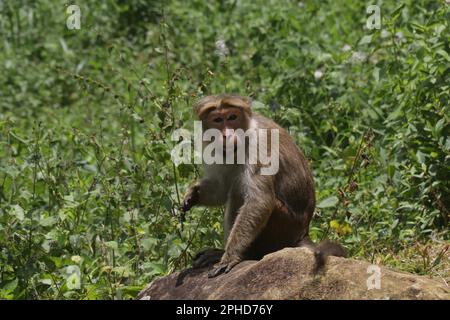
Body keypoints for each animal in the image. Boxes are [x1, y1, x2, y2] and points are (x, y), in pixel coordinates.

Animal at [179, 94, 344, 276]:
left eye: (232, 117)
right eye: (218, 120)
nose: (227, 135)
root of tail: (302, 234)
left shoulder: (259, 146)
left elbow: (260, 201)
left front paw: (229, 257)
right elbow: (221, 188)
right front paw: (192, 194)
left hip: (284, 228)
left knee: (239, 194)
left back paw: (242, 254)